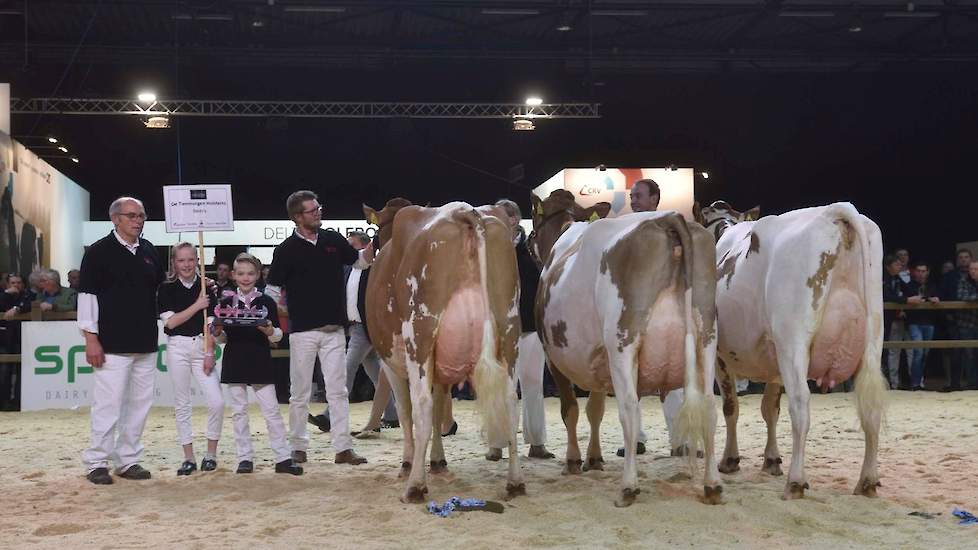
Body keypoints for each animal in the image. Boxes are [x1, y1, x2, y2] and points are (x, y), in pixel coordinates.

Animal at [696, 202, 888, 500]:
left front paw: (730, 459)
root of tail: (833, 212)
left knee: (800, 404)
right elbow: (769, 409)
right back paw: (867, 480)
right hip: (871, 343)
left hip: (793, 342)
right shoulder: (773, 360)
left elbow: (731, 408)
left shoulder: (720, 357)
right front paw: (772, 460)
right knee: (871, 408)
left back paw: (796, 481)